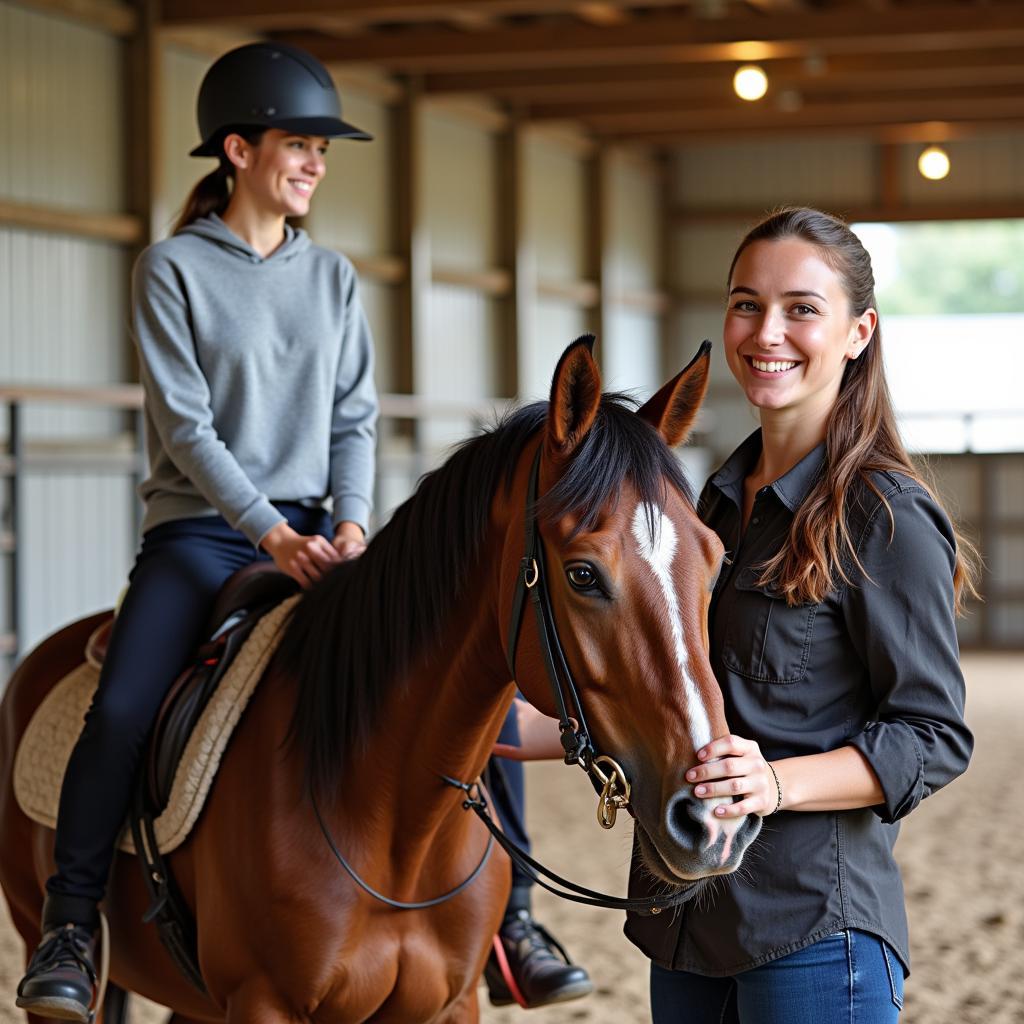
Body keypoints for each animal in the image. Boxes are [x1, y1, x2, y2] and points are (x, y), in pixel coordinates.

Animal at [0, 339, 761, 1019]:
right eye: (582, 573)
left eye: (715, 560)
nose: (716, 816)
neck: (394, 828)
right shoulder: (263, 1004)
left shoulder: (448, 1006)